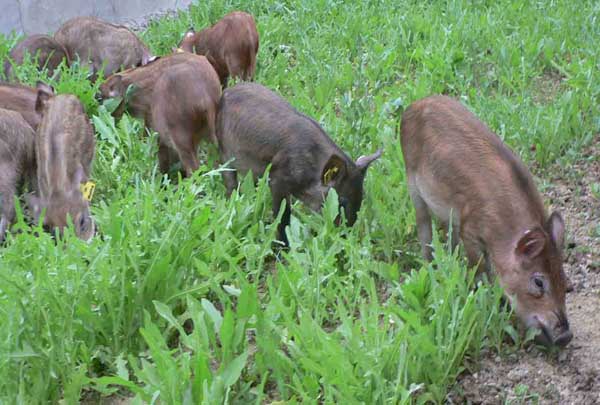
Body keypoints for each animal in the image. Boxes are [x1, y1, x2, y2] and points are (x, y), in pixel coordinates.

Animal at [218, 83, 382, 243]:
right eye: (341, 201)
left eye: (362, 197)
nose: (345, 237)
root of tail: (225, 92)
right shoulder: (277, 179)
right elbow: (283, 215)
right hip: (225, 153)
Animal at [400, 95, 568, 348]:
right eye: (538, 282)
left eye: (564, 280)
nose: (566, 336)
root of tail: (414, 104)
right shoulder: (469, 228)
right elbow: (479, 269)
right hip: (412, 182)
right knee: (424, 227)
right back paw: (430, 265)